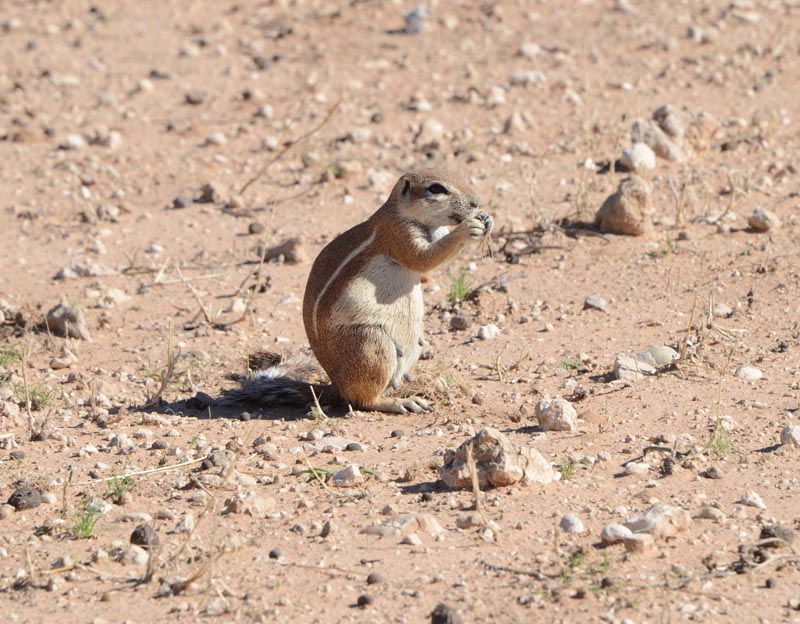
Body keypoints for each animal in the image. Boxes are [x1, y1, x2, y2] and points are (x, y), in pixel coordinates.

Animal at [220, 168, 494, 414]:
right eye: (436, 188)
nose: (477, 202)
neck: (403, 212)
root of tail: (336, 386)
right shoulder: (397, 234)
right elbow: (423, 259)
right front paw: (467, 229)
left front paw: (487, 220)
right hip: (371, 344)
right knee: (363, 399)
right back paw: (399, 402)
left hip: (413, 344)